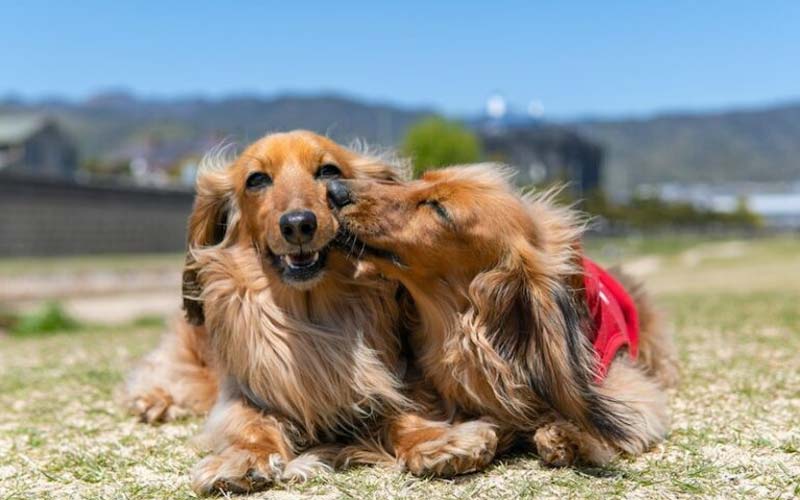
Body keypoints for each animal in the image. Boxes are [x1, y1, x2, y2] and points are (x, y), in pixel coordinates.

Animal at [121, 131, 496, 494]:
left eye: (328, 172)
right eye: (256, 179)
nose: (299, 224)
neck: (309, 314)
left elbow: (403, 412)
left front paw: (436, 441)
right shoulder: (245, 394)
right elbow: (249, 425)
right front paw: (243, 459)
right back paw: (154, 399)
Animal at [328, 165, 680, 468]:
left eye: (439, 209)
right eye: (417, 180)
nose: (333, 189)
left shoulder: (621, 381)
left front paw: (570, 434)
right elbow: (397, 419)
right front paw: (438, 444)